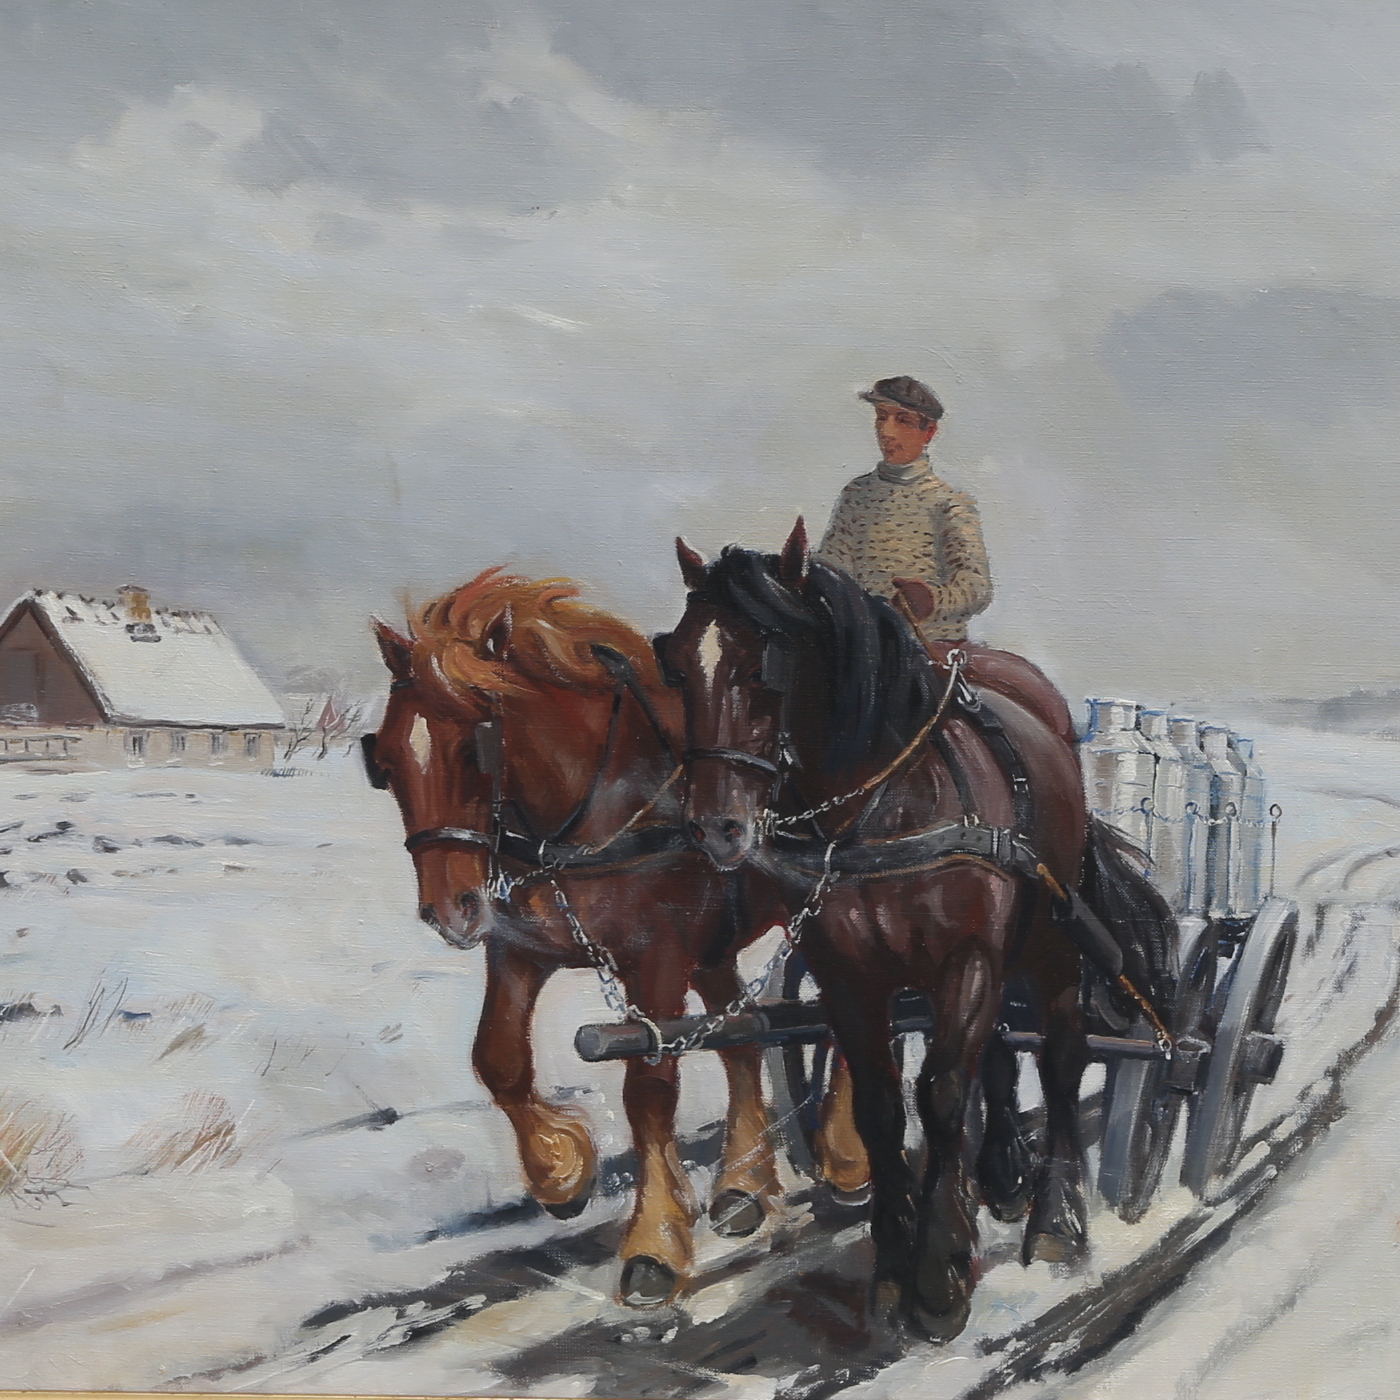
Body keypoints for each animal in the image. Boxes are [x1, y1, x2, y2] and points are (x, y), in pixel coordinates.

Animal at [364, 568, 803, 1307]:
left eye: (474, 749)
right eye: (388, 762)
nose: (450, 911)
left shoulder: (656, 961)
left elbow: (649, 1087)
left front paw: (655, 1243)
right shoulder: (520, 949)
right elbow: (499, 1059)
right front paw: (562, 1171)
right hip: (713, 947)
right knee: (742, 1039)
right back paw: (744, 1186)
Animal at [656, 521, 1175, 1340]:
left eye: (763, 660)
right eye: (675, 663)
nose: (715, 825)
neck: (882, 807)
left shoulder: (965, 960)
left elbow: (940, 1091)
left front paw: (939, 1273)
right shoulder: (848, 976)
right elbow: (879, 1104)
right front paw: (898, 1266)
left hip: (1052, 945)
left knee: (1059, 1059)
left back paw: (1055, 1218)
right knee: (1001, 1050)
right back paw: (1001, 1173)